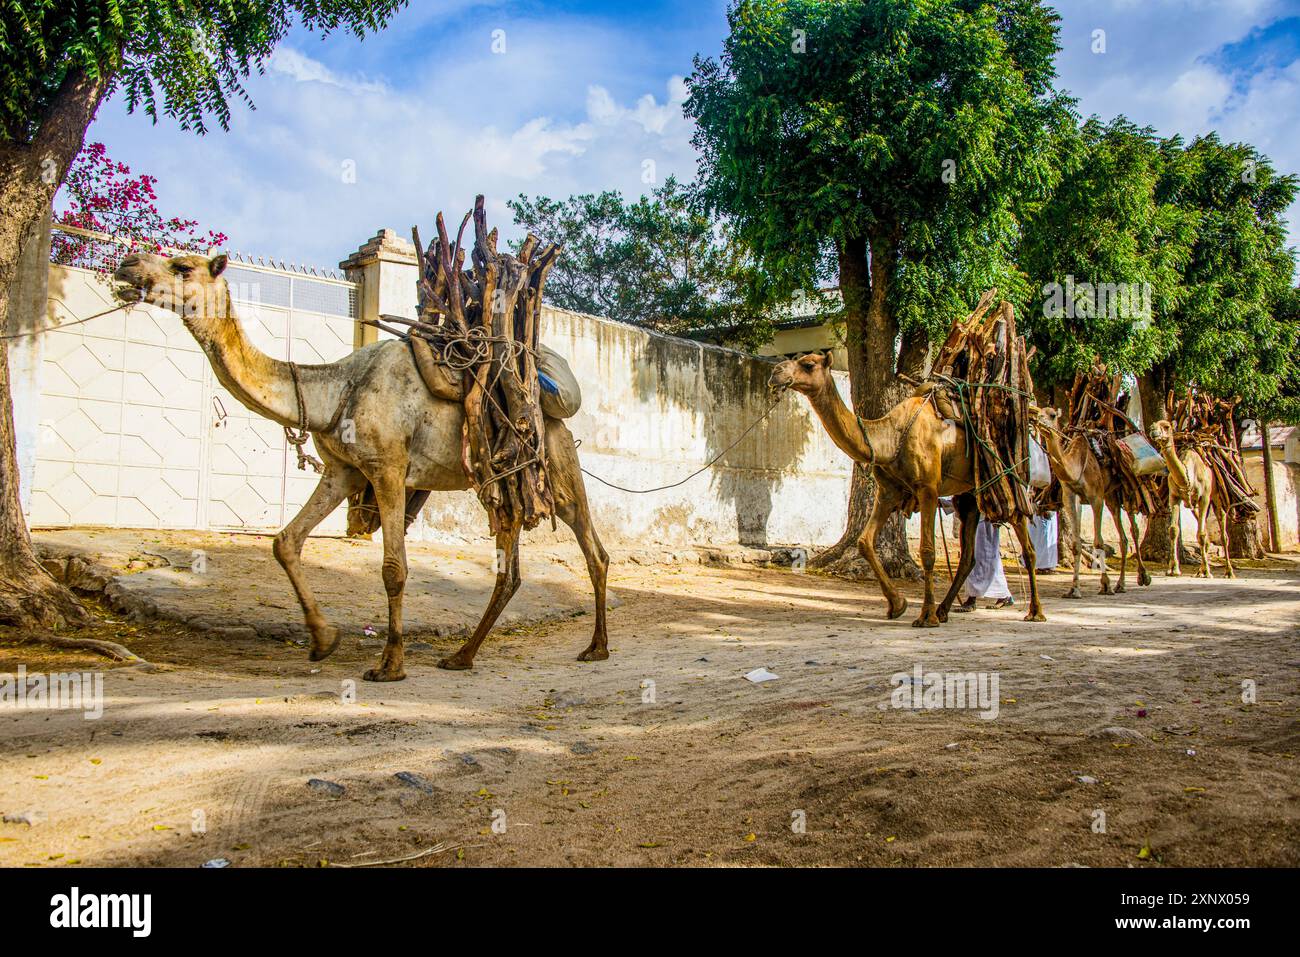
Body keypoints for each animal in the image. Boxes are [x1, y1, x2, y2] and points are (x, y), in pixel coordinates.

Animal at [110, 250, 608, 676]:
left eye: (182, 266)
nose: (128, 264)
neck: (334, 392)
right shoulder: (343, 471)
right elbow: (286, 541)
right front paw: (323, 640)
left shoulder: (387, 468)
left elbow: (393, 569)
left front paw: (389, 665)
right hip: (501, 483)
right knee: (512, 572)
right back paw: (462, 656)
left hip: (554, 464)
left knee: (593, 550)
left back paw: (595, 648)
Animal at [769, 351, 1045, 629]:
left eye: (808, 364)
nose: (776, 372)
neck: (891, 437)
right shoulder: (888, 492)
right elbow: (864, 542)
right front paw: (897, 605)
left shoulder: (928, 489)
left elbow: (927, 552)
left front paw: (926, 616)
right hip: (968, 495)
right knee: (968, 556)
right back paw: (945, 609)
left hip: (1007, 482)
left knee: (1027, 546)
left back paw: (1035, 612)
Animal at [1034, 405, 1149, 598]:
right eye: (1039, 412)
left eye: (1051, 415)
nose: (1039, 420)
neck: (1076, 467)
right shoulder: (1070, 496)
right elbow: (1076, 544)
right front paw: (1074, 589)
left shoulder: (1095, 496)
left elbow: (1098, 542)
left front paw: (1105, 585)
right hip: (1111, 495)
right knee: (1123, 537)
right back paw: (1121, 584)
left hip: (1127, 488)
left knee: (1134, 529)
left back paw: (1142, 577)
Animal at [1149, 416, 1227, 574]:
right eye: (1152, 426)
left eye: (1166, 426)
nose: (1153, 430)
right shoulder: (1174, 497)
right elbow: (1173, 530)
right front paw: (1173, 569)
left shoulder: (1204, 498)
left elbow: (1201, 534)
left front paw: (1207, 572)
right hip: (1195, 504)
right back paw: (1200, 570)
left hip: (1216, 494)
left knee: (1222, 524)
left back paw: (1229, 572)